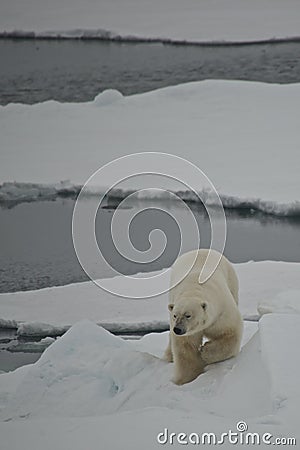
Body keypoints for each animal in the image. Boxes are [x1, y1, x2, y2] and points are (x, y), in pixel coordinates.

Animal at [164, 248, 244, 384]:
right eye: (175, 315)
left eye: (188, 315)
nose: (178, 329)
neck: (194, 287)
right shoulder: (188, 331)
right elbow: (186, 348)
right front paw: (185, 379)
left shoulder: (221, 312)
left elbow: (231, 333)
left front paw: (205, 352)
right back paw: (168, 356)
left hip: (232, 281)